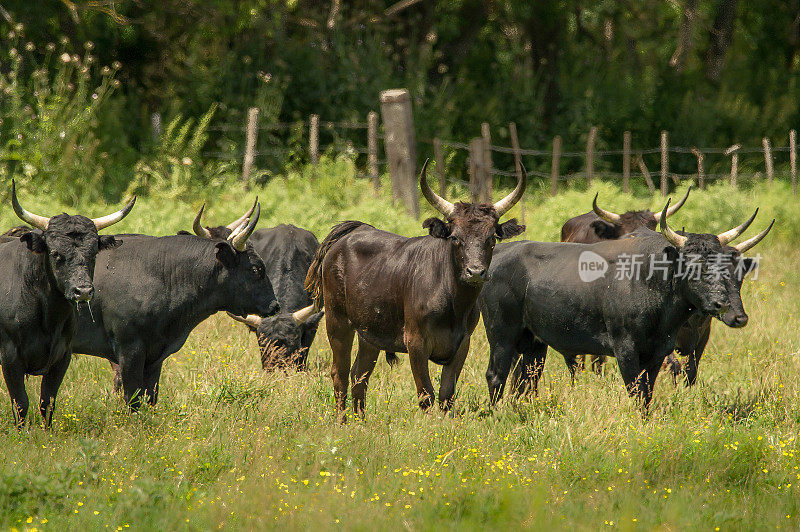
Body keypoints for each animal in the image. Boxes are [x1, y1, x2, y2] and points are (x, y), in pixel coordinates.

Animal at [304, 160, 524, 422]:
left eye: (491, 238)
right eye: (455, 238)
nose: (475, 272)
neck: (454, 304)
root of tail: (352, 232)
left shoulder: (463, 343)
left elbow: (446, 394)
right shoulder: (416, 341)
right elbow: (426, 393)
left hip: (370, 330)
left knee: (360, 375)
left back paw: (360, 421)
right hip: (337, 321)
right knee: (340, 372)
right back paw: (342, 420)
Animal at [478, 206, 772, 410]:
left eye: (735, 272)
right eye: (694, 265)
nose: (732, 312)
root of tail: (497, 256)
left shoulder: (659, 351)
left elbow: (649, 392)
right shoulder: (626, 349)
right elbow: (636, 391)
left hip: (534, 343)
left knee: (525, 381)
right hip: (501, 335)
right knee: (496, 375)